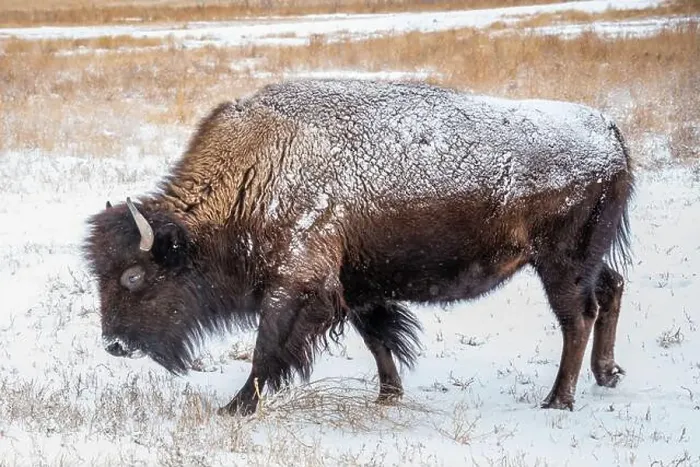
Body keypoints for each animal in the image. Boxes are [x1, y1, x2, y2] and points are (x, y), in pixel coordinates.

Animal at [84, 78, 634, 415]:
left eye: (134, 276)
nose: (114, 345)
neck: (257, 172)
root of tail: (608, 131)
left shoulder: (297, 286)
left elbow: (267, 350)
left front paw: (235, 408)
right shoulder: (357, 285)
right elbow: (379, 339)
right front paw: (388, 396)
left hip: (560, 262)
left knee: (577, 317)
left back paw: (558, 399)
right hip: (588, 256)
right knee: (611, 288)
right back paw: (607, 375)